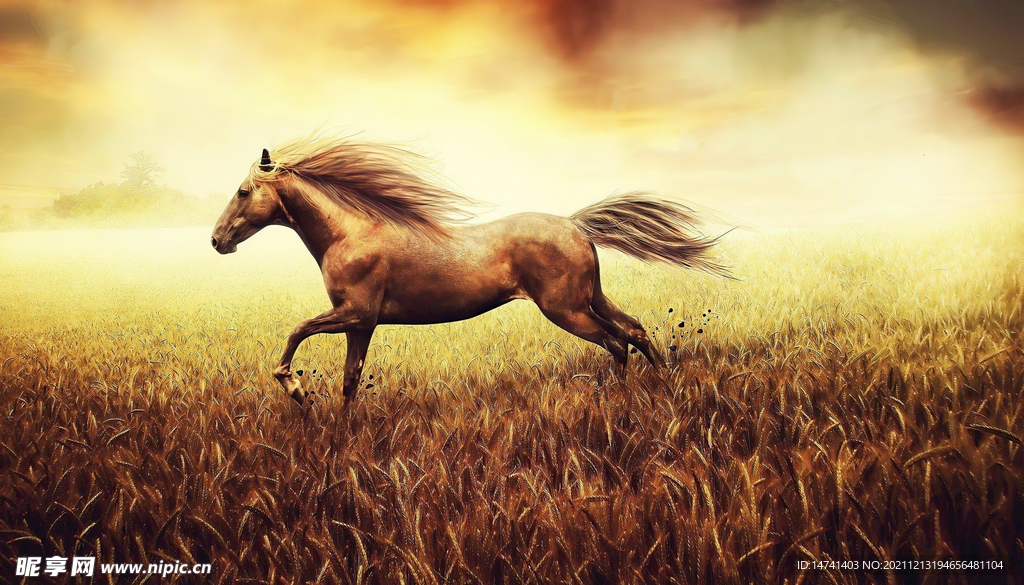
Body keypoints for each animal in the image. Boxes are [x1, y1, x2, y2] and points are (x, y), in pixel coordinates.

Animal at [211, 134, 727, 406]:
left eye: (243, 191)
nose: (217, 240)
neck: (349, 233)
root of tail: (576, 225)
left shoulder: (355, 314)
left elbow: (297, 331)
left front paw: (296, 388)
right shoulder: (361, 324)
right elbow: (349, 382)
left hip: (566, 309)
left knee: (616, 341)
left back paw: (623, 401)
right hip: (589, 298)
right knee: (634, 330)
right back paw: (662, 387)